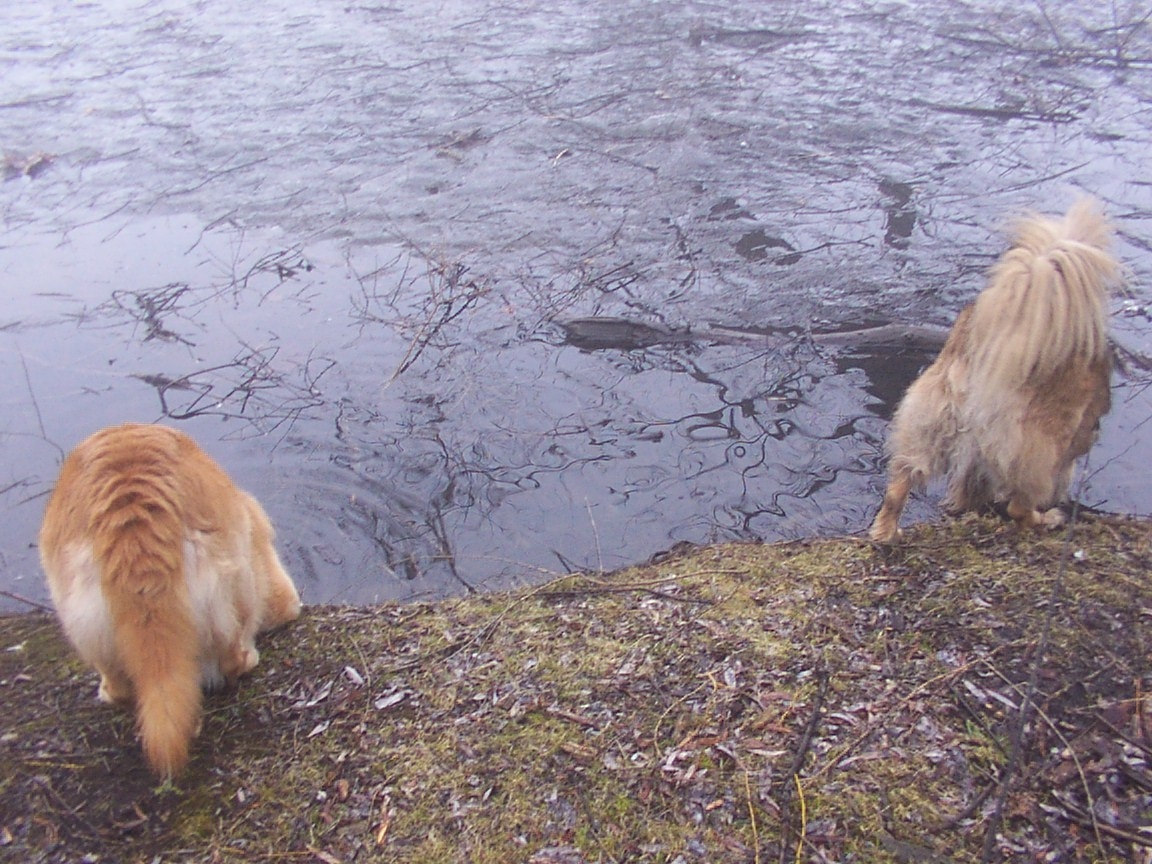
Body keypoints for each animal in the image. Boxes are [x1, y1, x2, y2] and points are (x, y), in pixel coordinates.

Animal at [866, 199, 1119, 543]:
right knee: (1020, 507)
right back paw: (1045, 519)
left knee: (897, 487)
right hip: (1032, 450)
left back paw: (887, 533)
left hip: (926, 425)